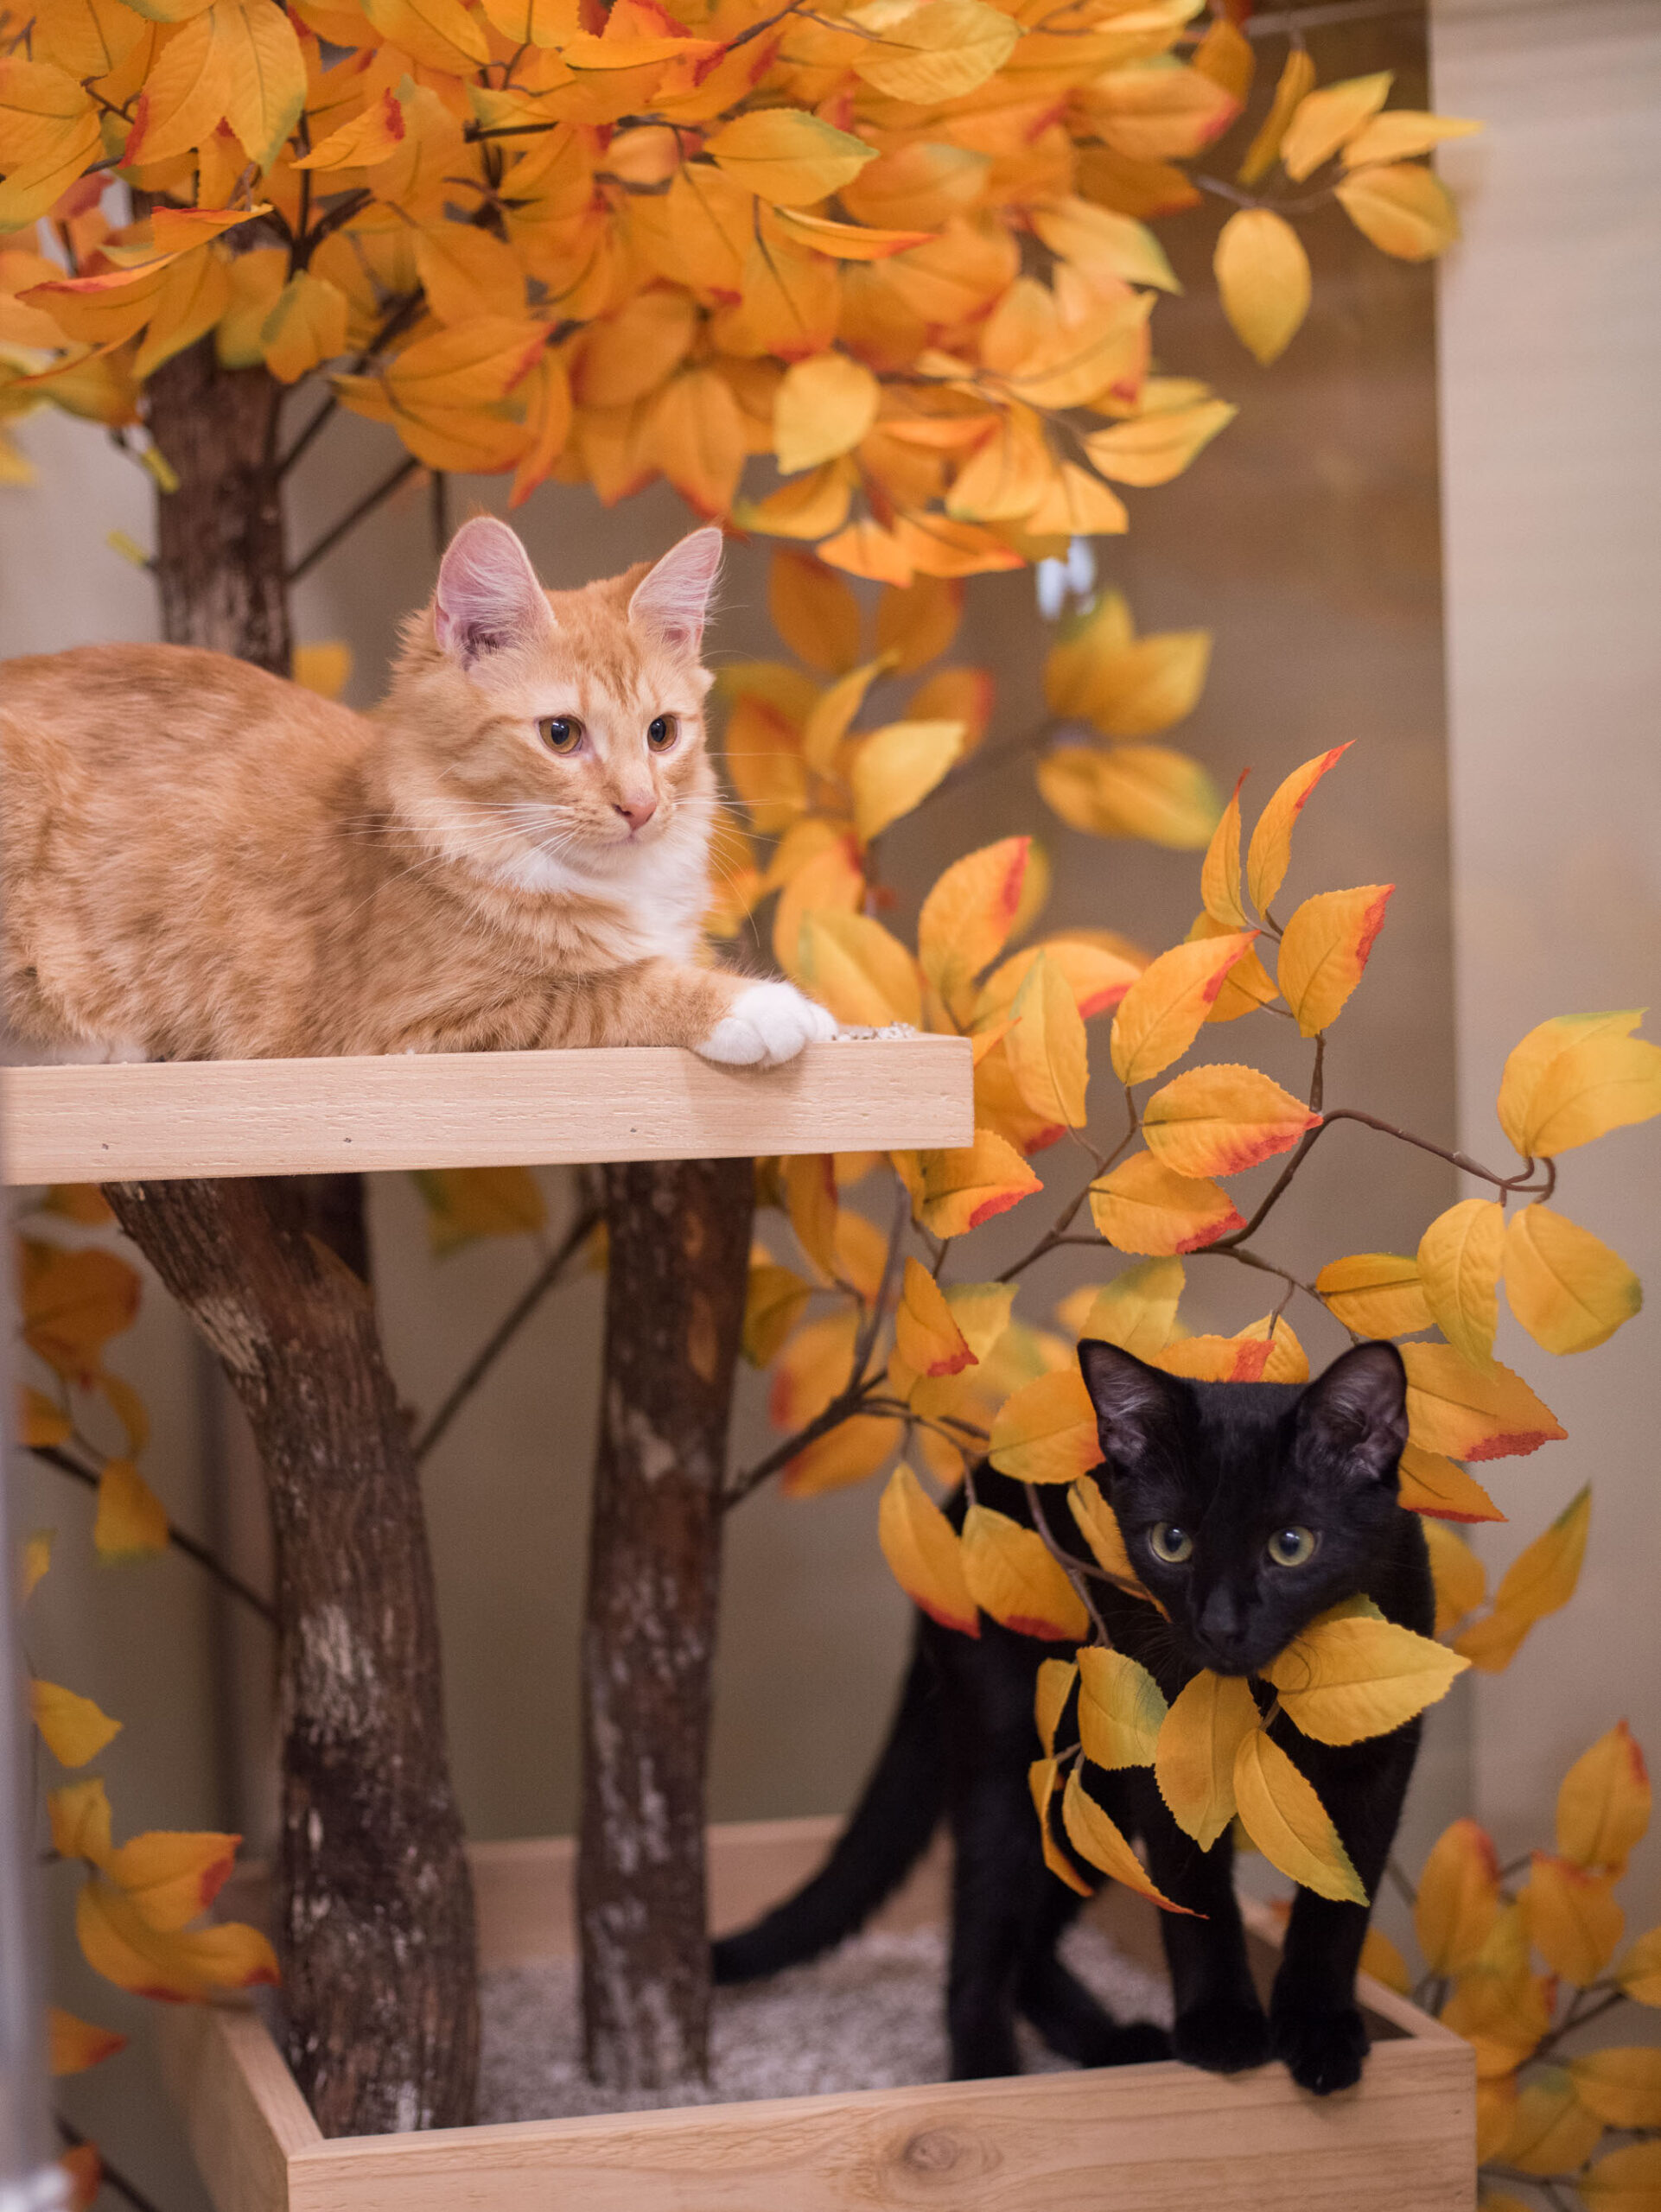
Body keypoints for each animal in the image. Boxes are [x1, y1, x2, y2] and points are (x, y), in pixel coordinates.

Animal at [0, 522, 831, 1065]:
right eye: (561, 735)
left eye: (662, 733)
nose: (641, 807)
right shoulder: (418, 1026)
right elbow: (612, 989)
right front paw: (765, 1006)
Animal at [716, 1336, 1433, 2096]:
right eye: (1171, 1541)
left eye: (1291, 1545)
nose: (1219, 1625)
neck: (1267, 1687)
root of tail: (960, 1507)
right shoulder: (1171, 1770)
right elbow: (1194, 1900)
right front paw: (1222, 2028)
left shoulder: (1380, 1763)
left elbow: (1340, 1906)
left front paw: (1320, 2033)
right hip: (1016, 1770)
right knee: (979, 1947)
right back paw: (991, 2080)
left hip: (1093, 1801)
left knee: (1032, 1945)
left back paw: (1113, 2043)